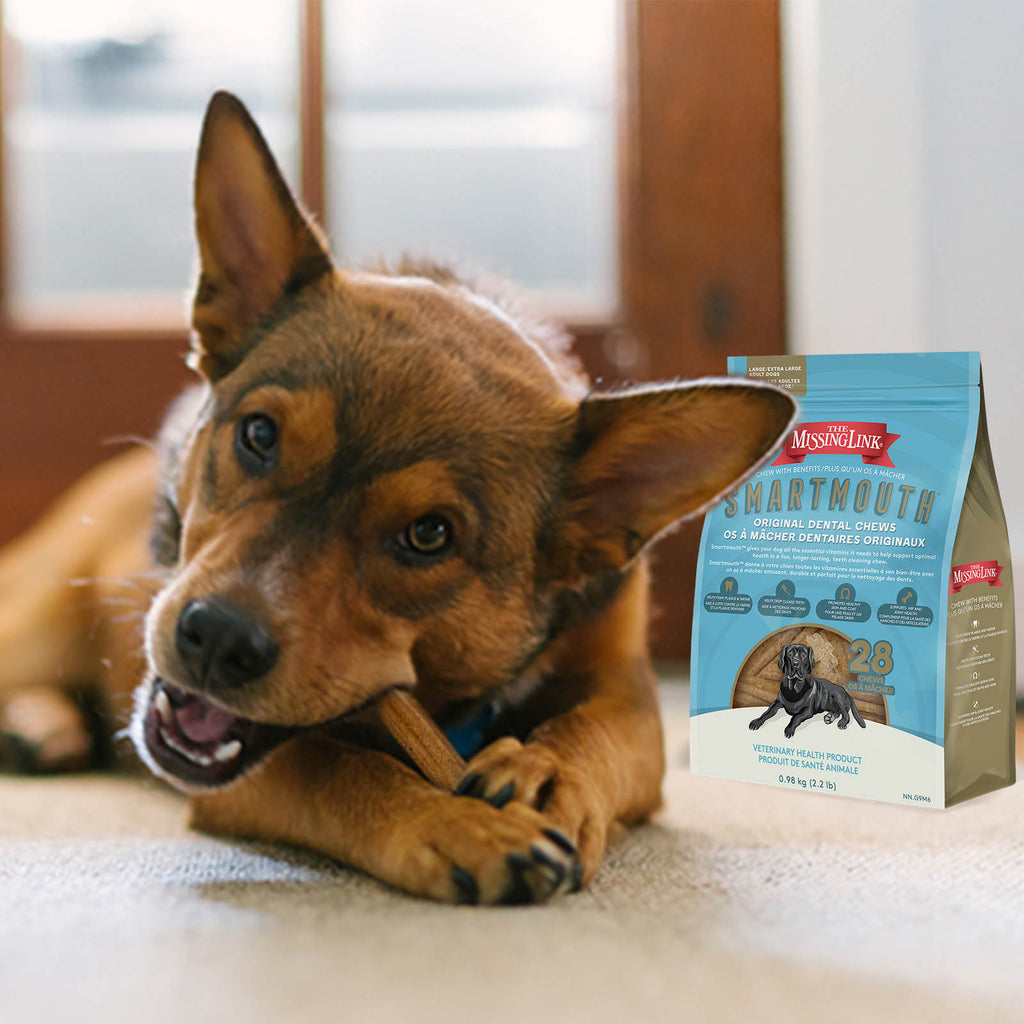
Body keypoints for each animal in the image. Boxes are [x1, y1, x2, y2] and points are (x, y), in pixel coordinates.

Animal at [0, 92, 794, 901]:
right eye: (258, 435)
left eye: (428, 535)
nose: (217, 637)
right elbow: (337, 767)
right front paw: (455, 824)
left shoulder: (626, 687)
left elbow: (593, 729)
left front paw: (548, 771)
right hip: (32, 620)